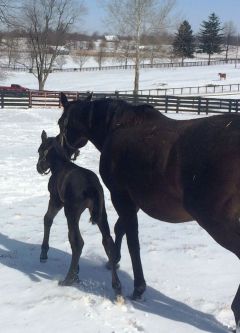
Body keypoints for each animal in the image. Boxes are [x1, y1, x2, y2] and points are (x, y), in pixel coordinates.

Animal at [36, 130, 121, 294]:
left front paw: (43, 253)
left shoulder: (56, 200)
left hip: (71, 212)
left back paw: (69, 279)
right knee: (108, 242)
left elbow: (47, 219)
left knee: (77, 242)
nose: (39, 168)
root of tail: (92, 186)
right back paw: (117, 286)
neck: (60, 165)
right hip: (101, 214)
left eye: (40, 150)